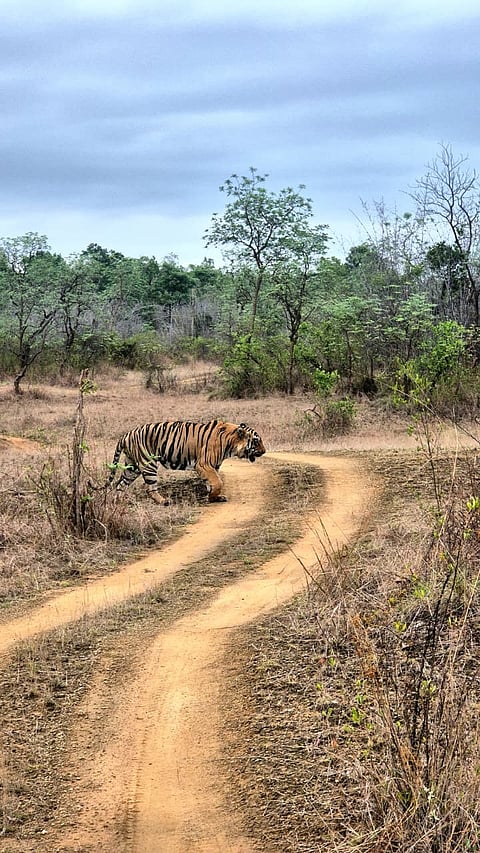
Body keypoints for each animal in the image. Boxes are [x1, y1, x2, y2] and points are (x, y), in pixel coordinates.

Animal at [105, 419, 266, 505]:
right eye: (256, 441)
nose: (264, 451)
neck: (230, 443)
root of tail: (126, 434)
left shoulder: (213, 466)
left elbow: (211, 482)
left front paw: (214, 496)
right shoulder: (204, 464)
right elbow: (218, 482)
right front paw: (213, 496)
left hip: (132, 467)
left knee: (120, 484)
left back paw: (118, 502)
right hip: (148, 463)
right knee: (150, 488)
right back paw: (164, 501)